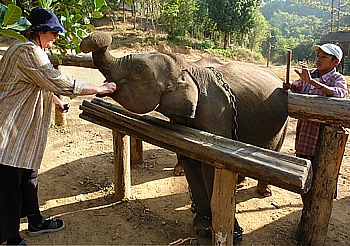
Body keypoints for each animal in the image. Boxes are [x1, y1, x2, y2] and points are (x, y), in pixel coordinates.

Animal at [80, 31, 288, 241]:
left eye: (137, 70)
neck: (187, 69)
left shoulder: (217, 114)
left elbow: (211, 167)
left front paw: (233, 233)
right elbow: (190, 159)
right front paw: (202, 227)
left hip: (283, 121)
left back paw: (264, 192)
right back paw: (239, 184)